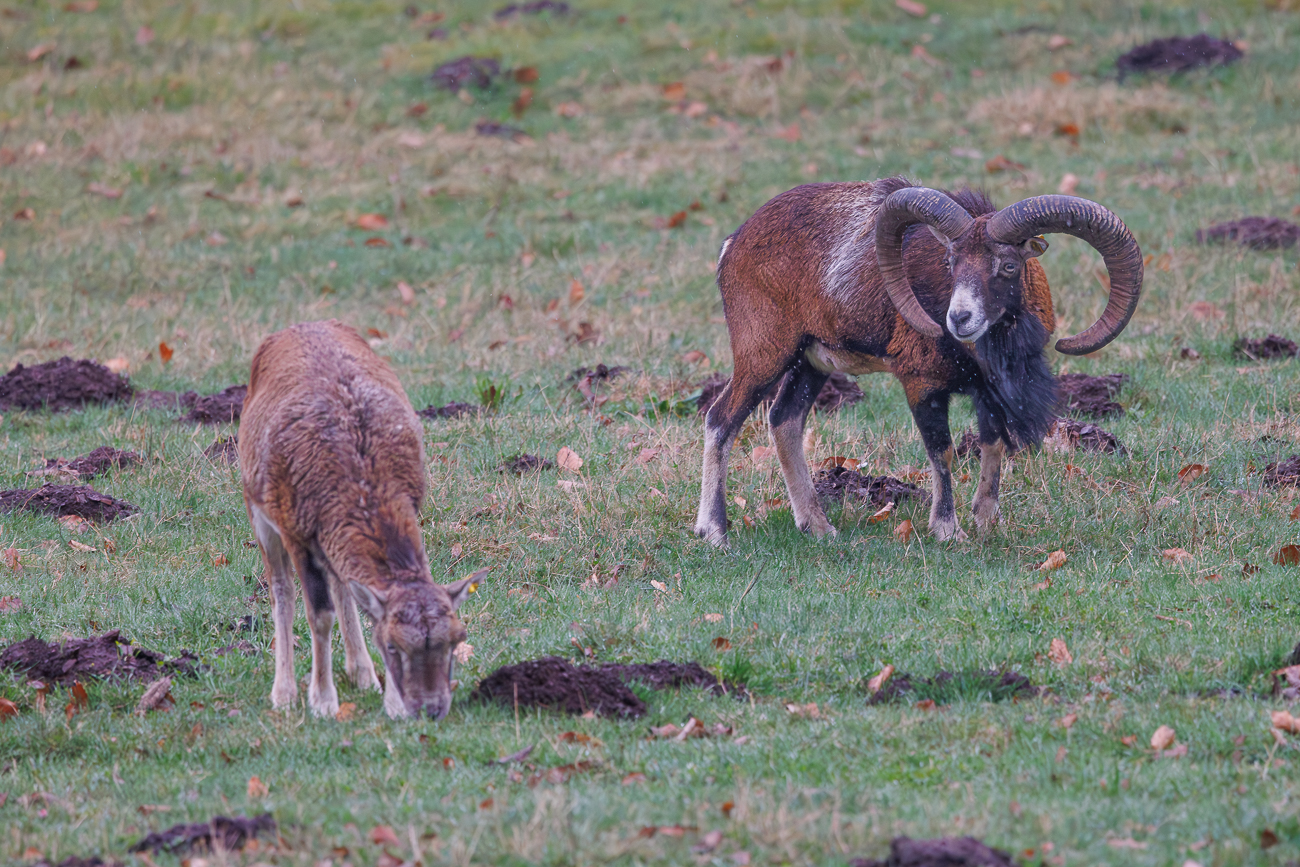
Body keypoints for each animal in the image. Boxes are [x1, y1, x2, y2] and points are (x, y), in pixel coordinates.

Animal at [239, 319, 485, 719]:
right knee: (281, 591)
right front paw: (323, 701)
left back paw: (363, 674)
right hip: (257, 509)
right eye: (393, 646)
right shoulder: (296, 530)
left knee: (343, 583)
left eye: (456, 639)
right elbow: (318, 614)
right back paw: (284, 694)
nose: (430, 709)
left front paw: (391, 702)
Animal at [695, 177, 1142, 545]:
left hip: (810, 366)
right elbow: (941, 453)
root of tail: (733, 245)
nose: (959, 318)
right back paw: (714, 533)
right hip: (764, 357)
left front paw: (986, 522)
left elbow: (992, 446)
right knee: (722, 420)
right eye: (951, 263)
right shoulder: (922, 386)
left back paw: (819, 528)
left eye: (1008, 265)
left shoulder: (988, 395)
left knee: (784, 421)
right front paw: (948, 530)